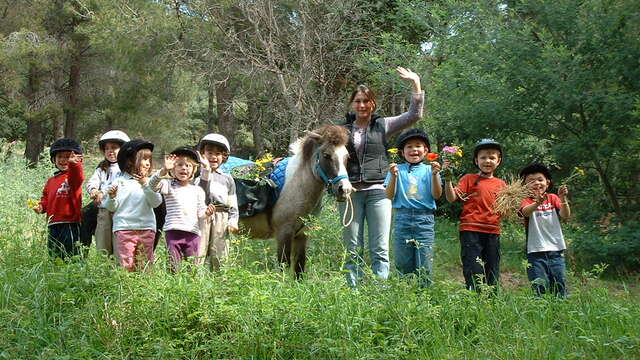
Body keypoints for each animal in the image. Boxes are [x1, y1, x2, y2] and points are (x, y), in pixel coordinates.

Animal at [240, 124, 352, 278]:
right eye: (326, 155)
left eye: (347, 156)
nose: (344, 189)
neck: (296, 185)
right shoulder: (283, 233)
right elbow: (283, 267)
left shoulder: (302, 235)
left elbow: (299, 268)